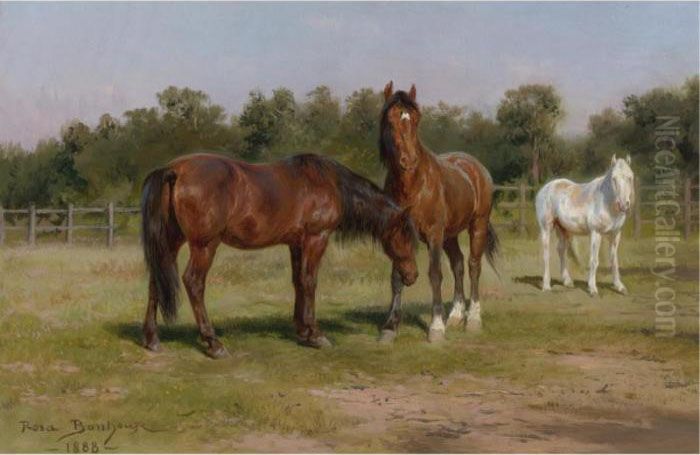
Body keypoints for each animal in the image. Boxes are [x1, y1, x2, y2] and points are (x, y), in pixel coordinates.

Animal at [140, 152, 418, 358]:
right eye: (406, 236)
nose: (411, 276)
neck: (328, 183)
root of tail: (174, 170)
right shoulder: (317, 238)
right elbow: (310, 281)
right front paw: (316, 335)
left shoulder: (296, 243)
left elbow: (298, 282)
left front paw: (302, 331)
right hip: (205, 245)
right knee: (194, 283)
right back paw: (214, 343)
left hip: (170, 242)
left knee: (155, 281)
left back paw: (152, 340)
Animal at [378, 82, 499, 343]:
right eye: (390, 120)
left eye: (415, 119)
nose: (409, 160)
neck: (413, 185)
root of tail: (476, 167)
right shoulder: (398, 234)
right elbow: (396, 276)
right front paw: (390, 327)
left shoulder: (434, 234)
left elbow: (434, 274)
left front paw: (435, 328)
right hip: (450, 235)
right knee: (459, 264)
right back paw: (455, 315)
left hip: (477, 225)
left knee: (473, 265)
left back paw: (473, 319)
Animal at [535, 154, 635, 296]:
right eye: (614, 178)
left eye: (630, 177)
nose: (623, 205)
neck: (606, 202)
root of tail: (545, 188)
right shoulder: (595, 233)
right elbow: (594, 260)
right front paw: (592, 288)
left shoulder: (615, 234)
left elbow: (614, 261)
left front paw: (619, 287)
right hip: (546, 228)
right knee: (546, 254)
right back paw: (546, 286)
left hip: (563, 229)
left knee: (561, 250)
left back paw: (567, 281)